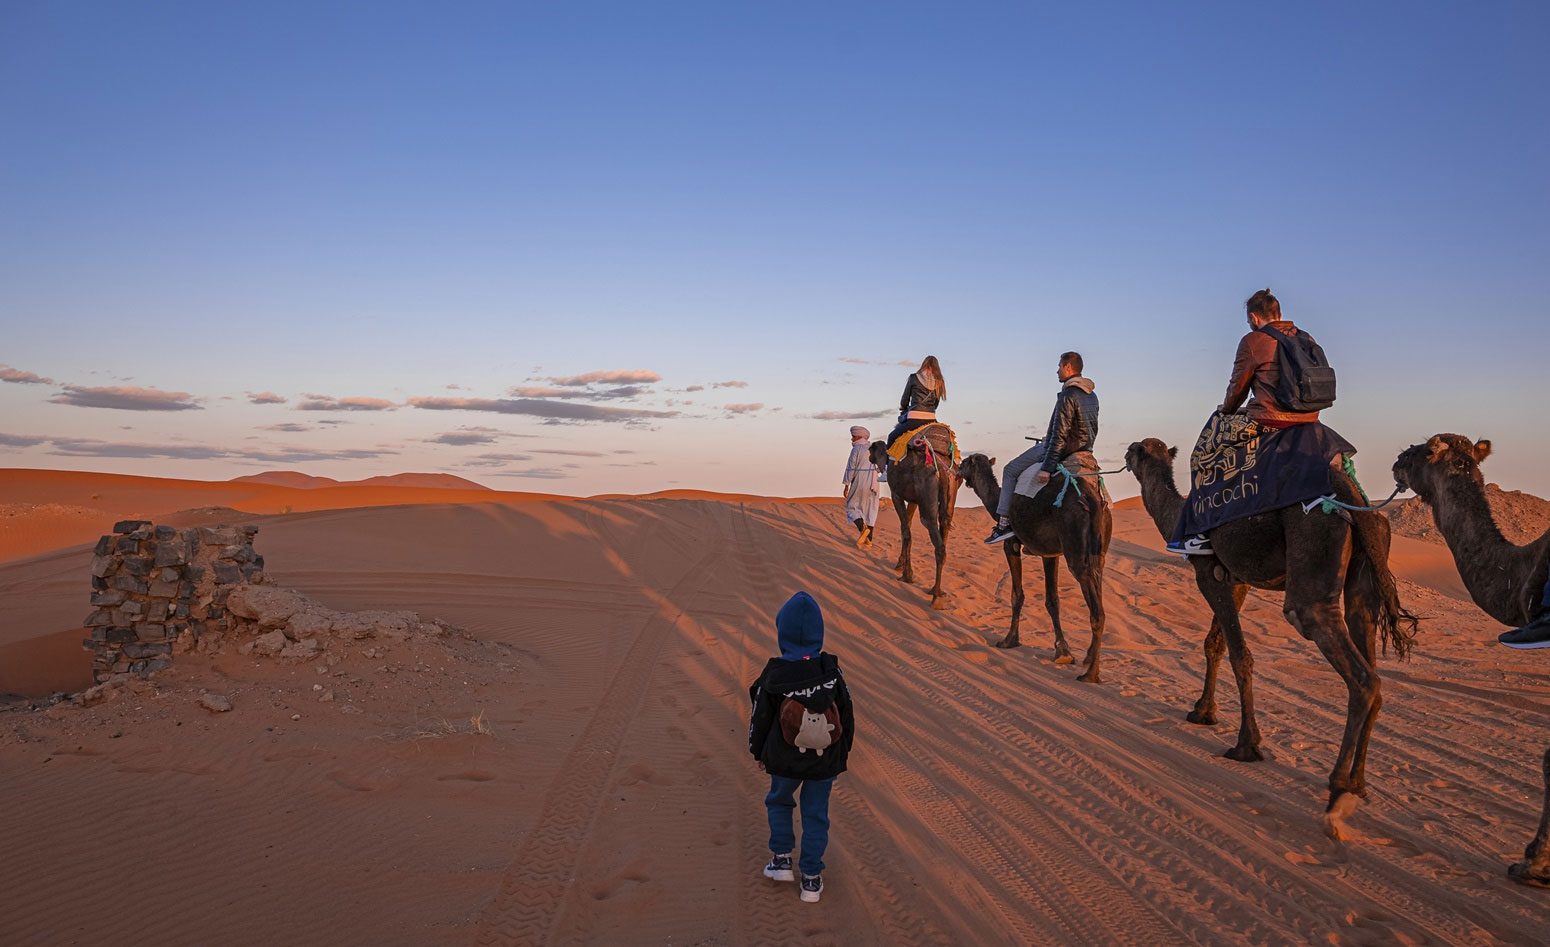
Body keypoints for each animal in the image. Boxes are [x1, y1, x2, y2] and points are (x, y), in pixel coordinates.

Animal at [868, 427, 961, 610]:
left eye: (870, 451)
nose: (869, 457)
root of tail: (940, 468)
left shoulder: (896, 494)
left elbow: (906, 531)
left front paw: (907, 574)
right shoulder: (913, 500)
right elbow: (908, 525)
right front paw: (900, 565)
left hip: (927, 496)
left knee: (935, 535)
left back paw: (936, 597)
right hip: (950, 494)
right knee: (944, 531)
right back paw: (936, 590)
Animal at [961, 452, 1109, 681]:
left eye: (965, 463)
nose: (956, 468)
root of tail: (1092, 499)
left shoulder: (1011, 544)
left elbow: (1017, 595)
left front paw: (1009, 640)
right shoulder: (1050, 553)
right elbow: (1052, 600)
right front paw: (1063, 652)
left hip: (1076, 547)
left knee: (1096, 610)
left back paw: (1090, 675)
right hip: (1098, 552)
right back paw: (1088, 658)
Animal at [1128, 437, 1419, 836]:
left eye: (1135, 450)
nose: (1126, 455)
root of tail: (1354, 498)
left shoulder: (1208, 572)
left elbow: (1240, 654)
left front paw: (1246, 745)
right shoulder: (1236, 580)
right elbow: (1214, 644)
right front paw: (1202, 711)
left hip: (1315, 549)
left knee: (1356, 671)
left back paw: (1337, 791)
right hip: (1365, 573)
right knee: (1369, 657)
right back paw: (1358, 784)